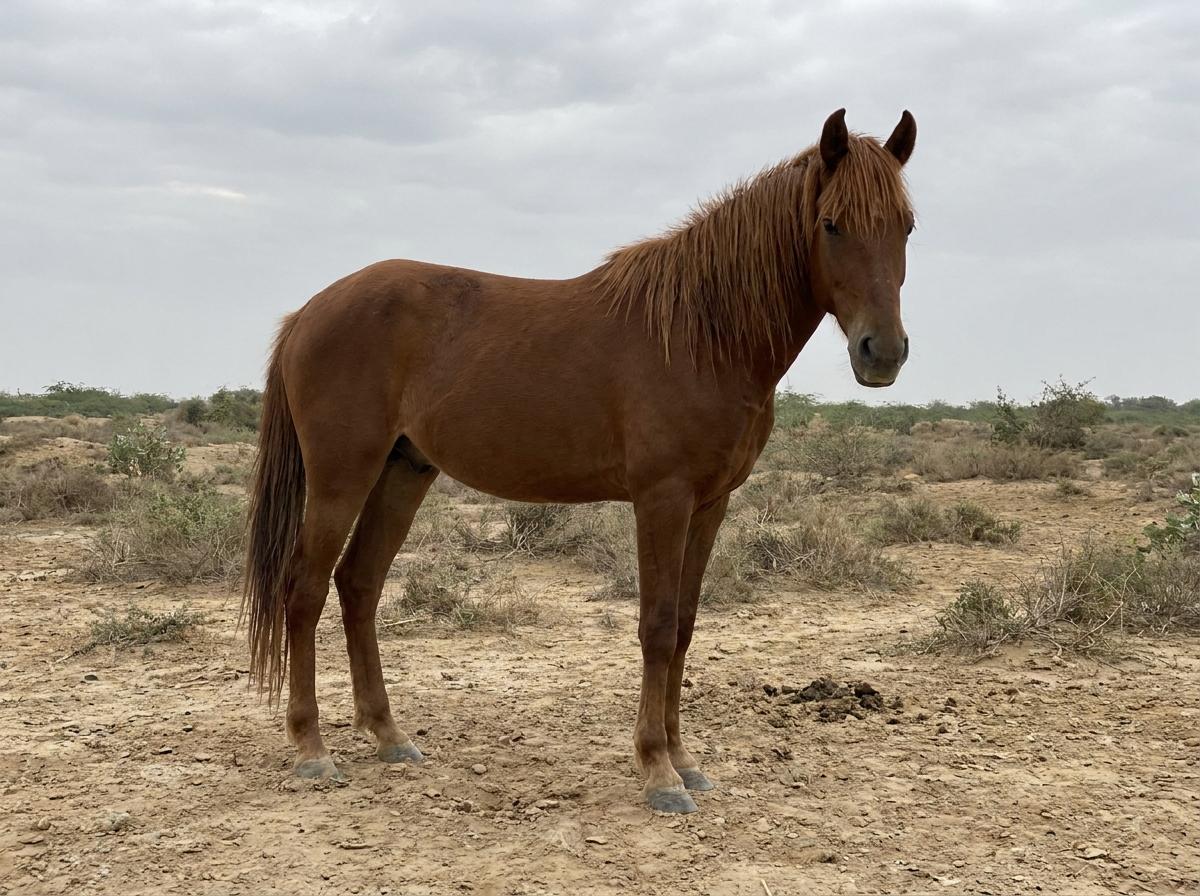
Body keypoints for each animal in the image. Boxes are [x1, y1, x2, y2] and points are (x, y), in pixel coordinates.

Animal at [243, 108, 917, 814]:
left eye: (906, 225)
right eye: (831, 224)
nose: (883, 353)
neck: (702, 334)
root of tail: (309, 312)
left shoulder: (711, 503)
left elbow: (685, 626)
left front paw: (685, 761)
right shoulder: (662, 498)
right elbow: (657, 626)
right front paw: (658, 772)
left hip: (403, 472)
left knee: (359, 584)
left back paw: (389, 735)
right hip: (340, 476)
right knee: (305, 590)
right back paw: (311, 749)